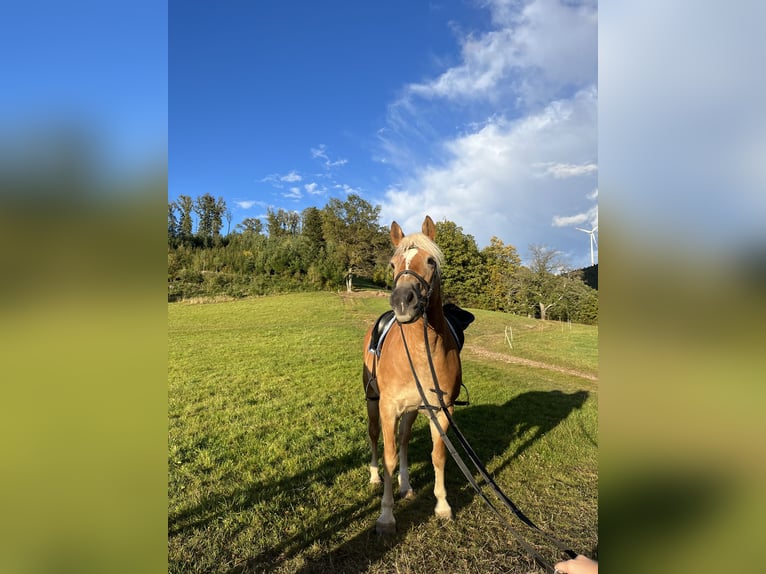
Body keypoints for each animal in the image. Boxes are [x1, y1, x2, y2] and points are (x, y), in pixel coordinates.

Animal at [366, 215, 468, 536]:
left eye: (431, 261)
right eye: (392, 264)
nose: (403, 301)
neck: (421, 351)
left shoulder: (442, 410)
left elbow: (438, 455)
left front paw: (443, 505)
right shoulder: (388, 408)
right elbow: (388, 458)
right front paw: (386, 516)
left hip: (411, 411)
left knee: (403, 440)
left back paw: (405, 484)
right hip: (372, 403)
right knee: (375, 437)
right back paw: (375, 477)